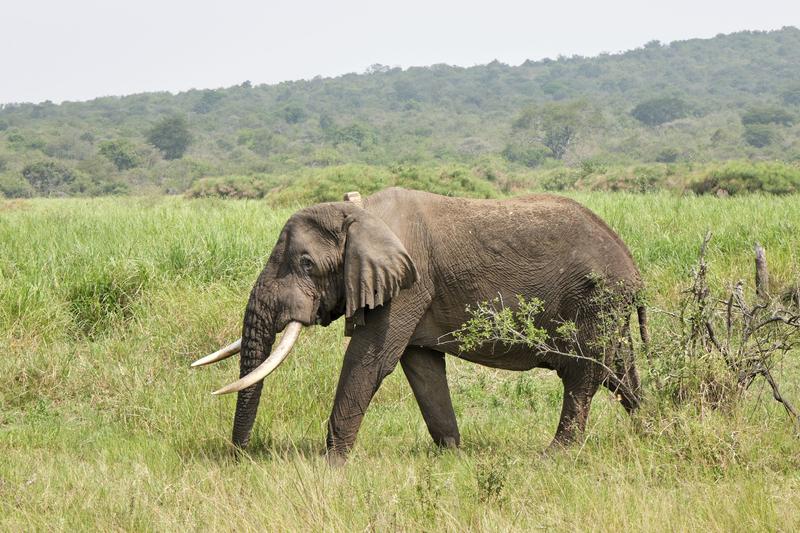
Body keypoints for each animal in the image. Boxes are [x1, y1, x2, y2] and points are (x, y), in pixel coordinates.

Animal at [194, 187, 648, 462]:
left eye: (306, 264)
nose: (240, 457)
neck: (360, 214)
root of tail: (632, 264)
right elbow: (423, 369)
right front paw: (453, 457)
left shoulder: (408, 286)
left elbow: (369, 361)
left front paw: (332, 466)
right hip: (607, 308)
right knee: (617, 372)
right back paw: (650, 431)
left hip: (596, 299)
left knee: (583, 374)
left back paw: (554, 456)